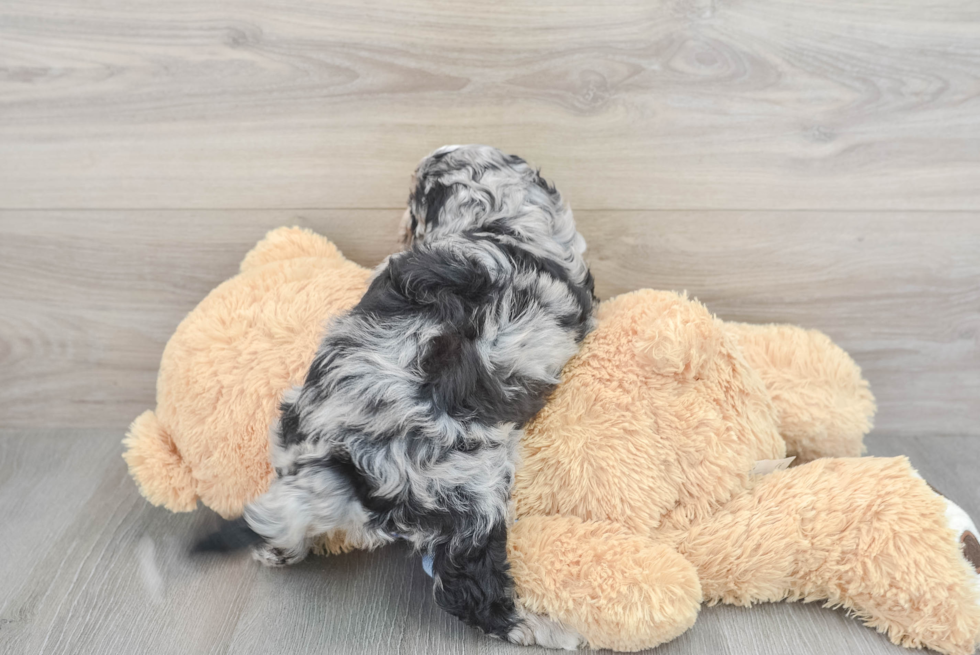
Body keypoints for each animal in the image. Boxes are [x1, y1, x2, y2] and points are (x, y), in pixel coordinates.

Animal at [198, 146, 592, 648]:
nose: (400, 225)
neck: (492, 216)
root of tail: (343, 458)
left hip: (289, 432)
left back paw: (279, 550)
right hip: (470, 491)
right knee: (467, 589)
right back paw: (545, 628)